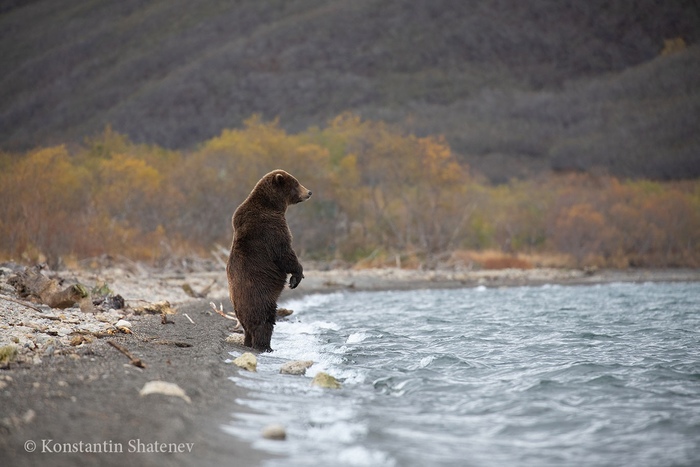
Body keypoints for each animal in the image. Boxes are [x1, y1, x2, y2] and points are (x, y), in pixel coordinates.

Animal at [227, 170, 312, 352]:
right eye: (296, 183)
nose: (309, 192)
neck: (272, 205)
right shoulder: (270, 228)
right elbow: (284, 253)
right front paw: (296, 277)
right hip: (259, 295)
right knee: (264, 320)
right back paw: (265, 346)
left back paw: (248, 341)